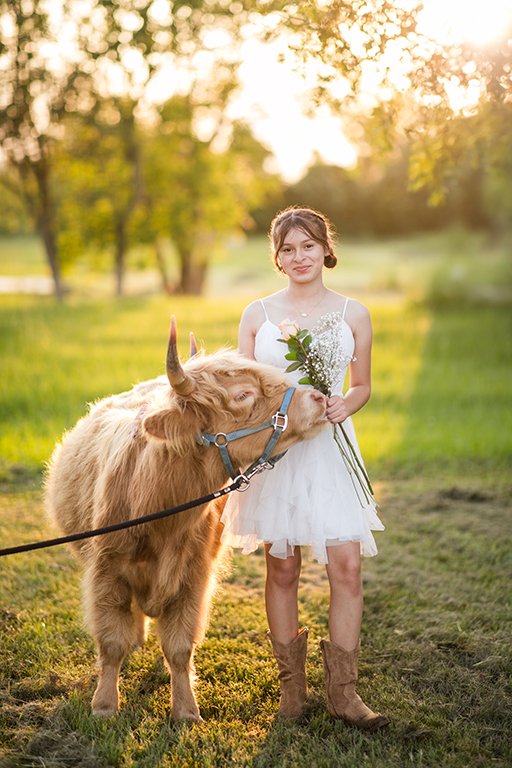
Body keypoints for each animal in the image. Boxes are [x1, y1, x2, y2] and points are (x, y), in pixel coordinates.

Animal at [44, 317, 326, 721]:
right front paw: (104, 705)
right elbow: (111, 642)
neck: (160, 510)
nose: (318, 398)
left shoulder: (194, 576)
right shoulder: (106, 572)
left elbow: (179, 647)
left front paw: (186, 710)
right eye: (243, 395)